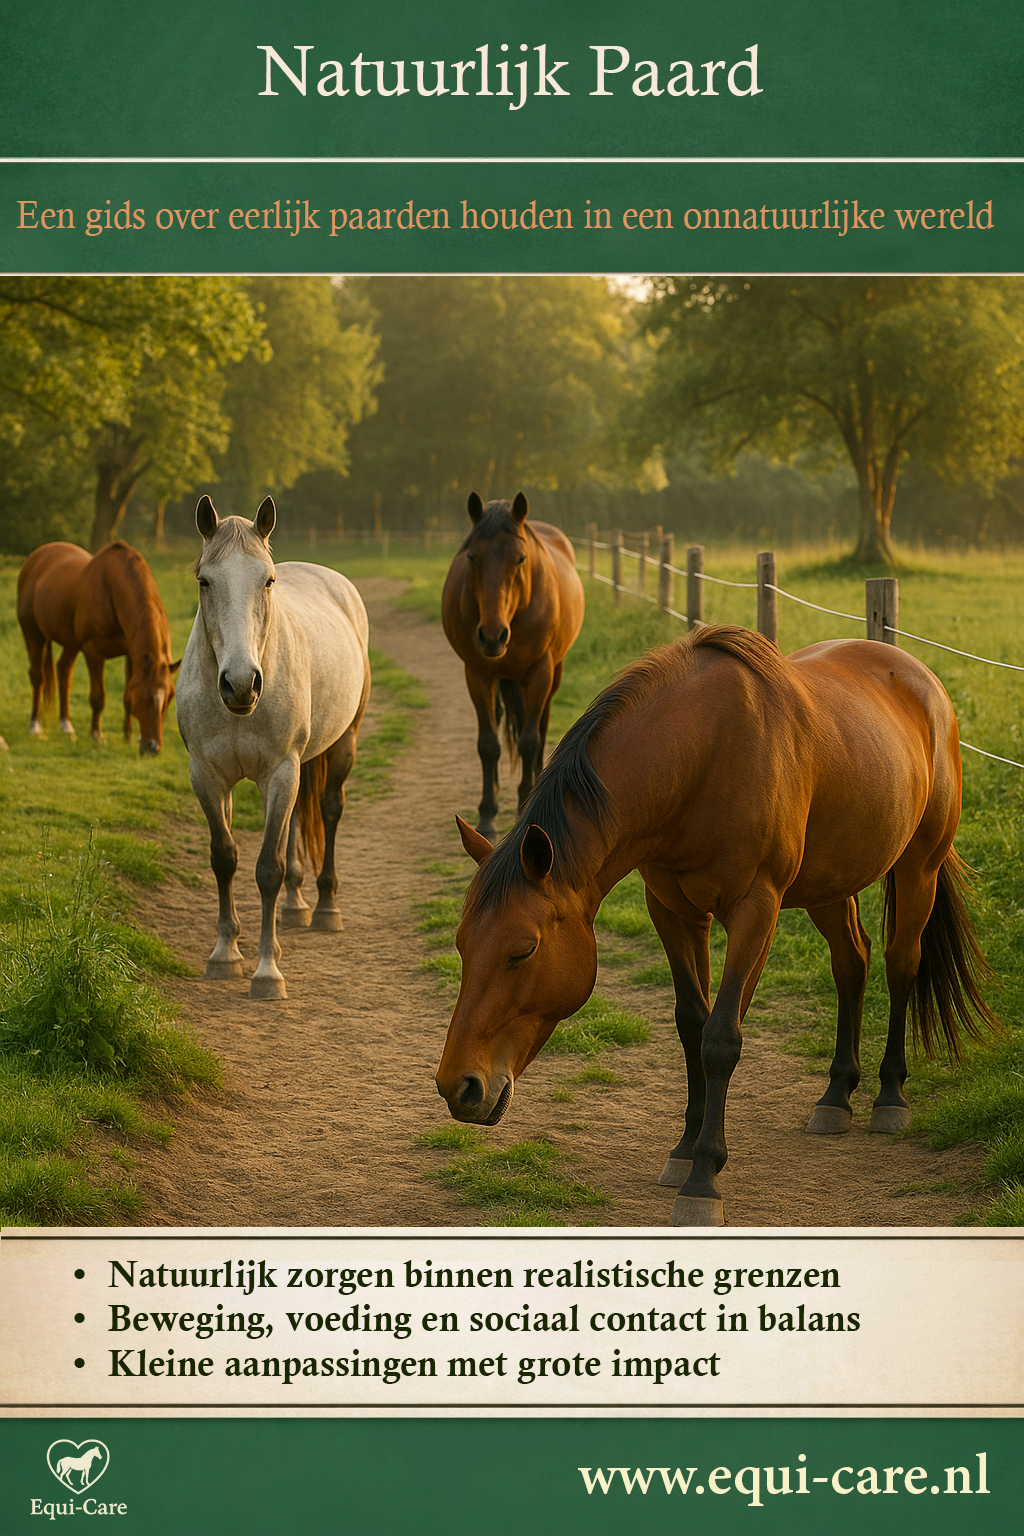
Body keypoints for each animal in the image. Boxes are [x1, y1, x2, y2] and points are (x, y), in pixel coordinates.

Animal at [17, 541, 179, 754]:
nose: (153, 747)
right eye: (145, 697)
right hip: (33, 633)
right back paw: (35, 727)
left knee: (63, 672)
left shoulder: (131, 654)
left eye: (169, 698)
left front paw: (127, 735)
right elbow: (98, 697)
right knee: (38, 676)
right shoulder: (94, 653)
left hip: (70, 642)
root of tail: (35, 557)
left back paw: (66, 726)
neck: (112, 591)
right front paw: (97, 735)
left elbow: (126, 693)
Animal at [176, 495, 370, 1001]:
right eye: (204, 581)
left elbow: (267, 868)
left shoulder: (281, 771)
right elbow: (224, 857)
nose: (241, 683)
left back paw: (324, 908)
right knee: (294, 824)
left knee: (328, 809)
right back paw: (295, 907)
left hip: (340, 745)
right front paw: (226, 954)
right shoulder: (207, 776)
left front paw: (267, 972)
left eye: (267, 581)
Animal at [435, 625, 998, 1227]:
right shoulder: (673, 910)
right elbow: (691, 1024)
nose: (458, 1086)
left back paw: (890, 1095)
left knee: (900, 964)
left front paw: (704, 1178)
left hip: (919, 866)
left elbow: (722, 1036)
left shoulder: (756, 909)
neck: (701, 759)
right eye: (463, 947)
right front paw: (684, 1150)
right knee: (853, 961)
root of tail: (919, 676)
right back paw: (836, 1094)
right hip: (830, 882)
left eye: (523, 951)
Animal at [441, 492, 585, 841]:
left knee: (540, 729)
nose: (492, 636)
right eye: (472, 558)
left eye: (520, 559)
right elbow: (488, 744)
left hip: (552, 674)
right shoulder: (478, 674)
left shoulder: (539, 673)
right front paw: (487, 815)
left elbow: (530, 741)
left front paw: (524, 807)